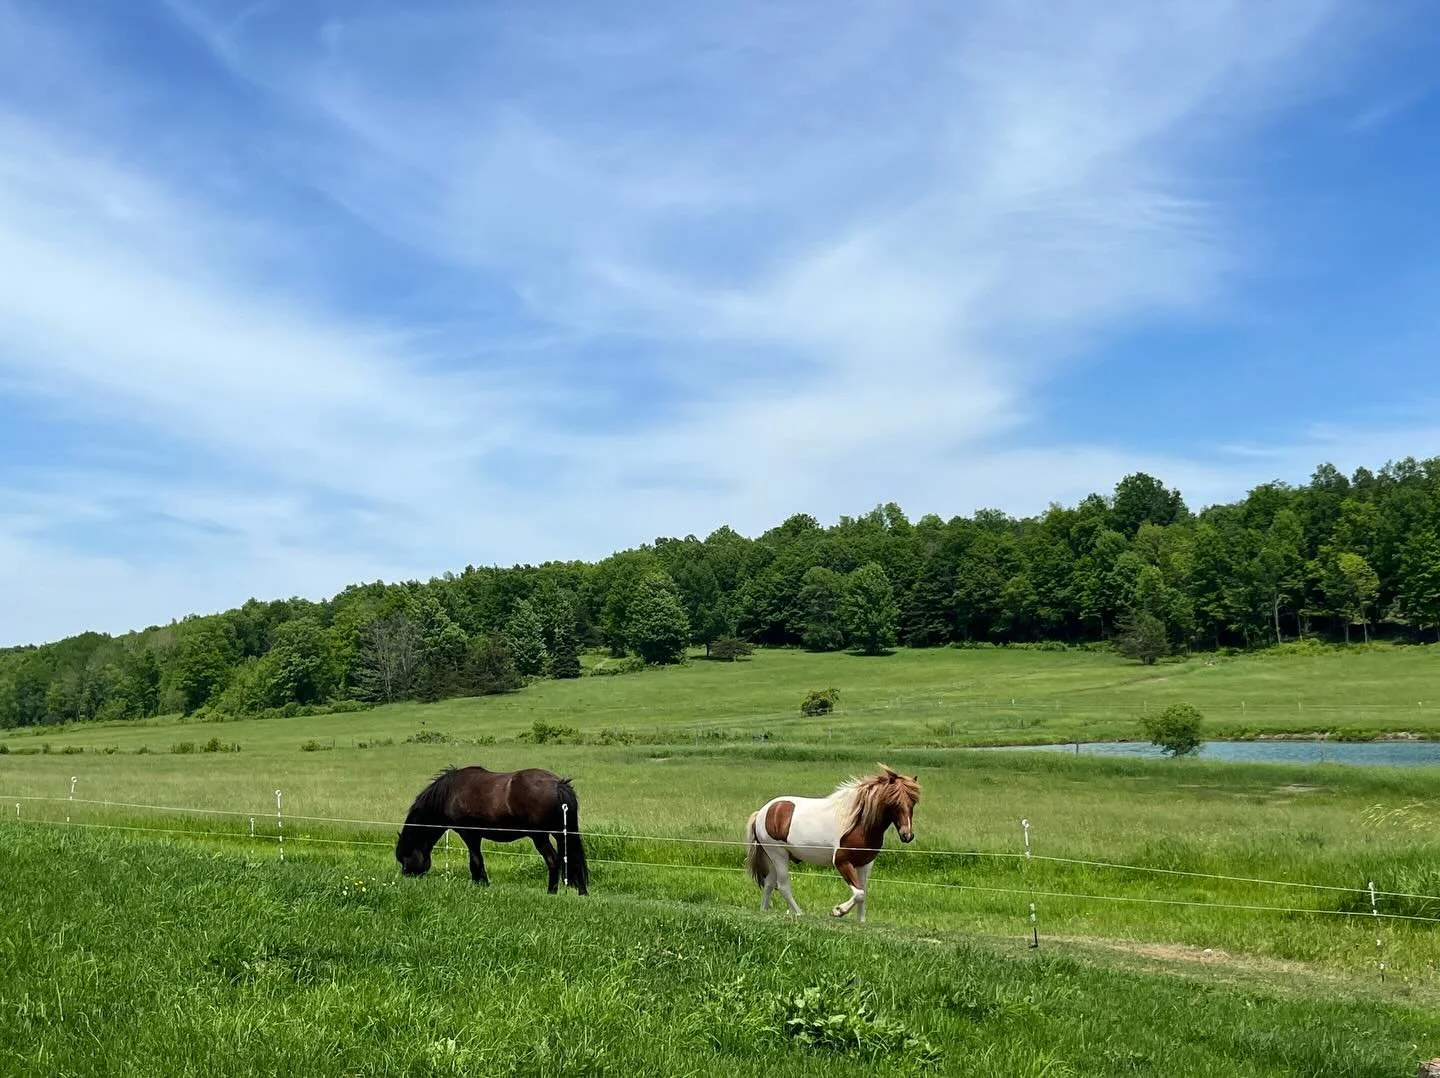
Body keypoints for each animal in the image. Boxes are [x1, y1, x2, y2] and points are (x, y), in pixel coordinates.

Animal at [394, 765, 589, 895]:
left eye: (404, 857)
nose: (406, 876)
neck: (449, 793)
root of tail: (558, 785)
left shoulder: (469, 834)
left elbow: (475, 860)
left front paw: (480, 884)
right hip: (562, 835)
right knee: (574, 860)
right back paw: (582, 892)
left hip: (540, 837)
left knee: (553, 860)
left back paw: (551, 892)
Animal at [745, 763, 919, 922]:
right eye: (895, 802)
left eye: (913, 802)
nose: (907, 835)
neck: (858, 824)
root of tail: (762, 812)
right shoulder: (842, 862)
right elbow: (859, 893)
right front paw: (838, 911)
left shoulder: (865, 864)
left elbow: (863, 893)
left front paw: (860, 921)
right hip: (778, 855)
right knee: (783, 885)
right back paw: (799, 913)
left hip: (780, 856)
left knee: (768, 883)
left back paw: (764, 910)